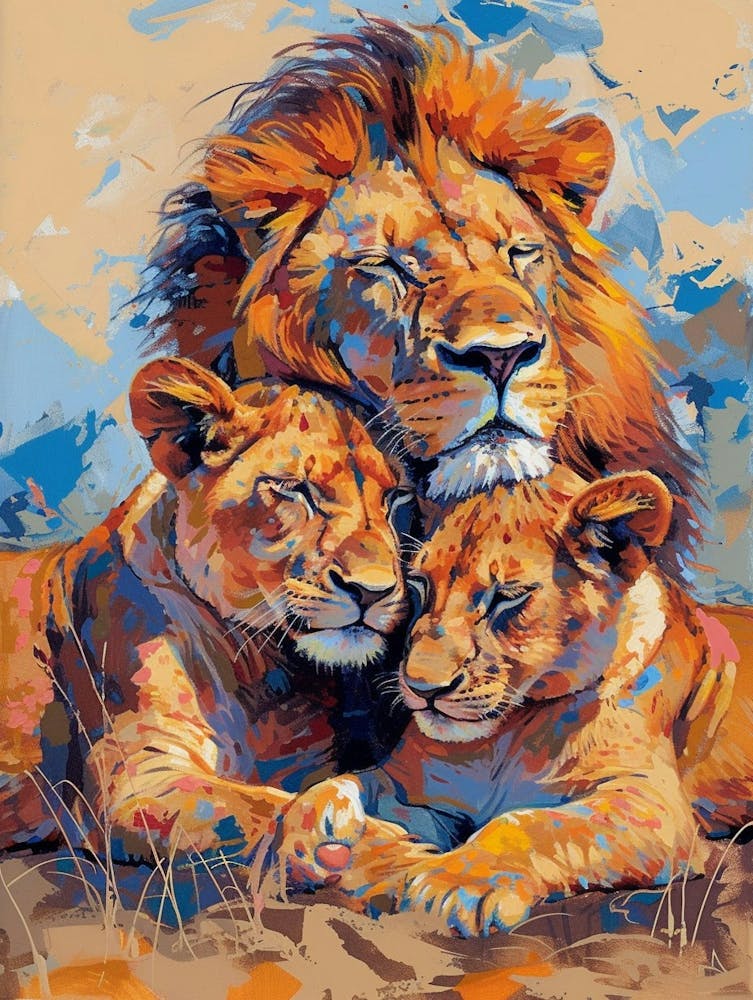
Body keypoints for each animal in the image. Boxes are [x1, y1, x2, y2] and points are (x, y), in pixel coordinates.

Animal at [0, 356, 413, 866]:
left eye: (394, 498)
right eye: (294, 490)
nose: (373, 591)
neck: (259, 673)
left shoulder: (305, 762)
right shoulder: (137, 779)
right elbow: (252, 807)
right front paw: (374, 843)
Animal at [279, 467, 752, 935]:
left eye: (507, 597)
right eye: (419, 583)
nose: (422, 687)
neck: (503, 738)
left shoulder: (652, 803)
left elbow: (538, 822)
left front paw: (455, 881)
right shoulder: (414, 787)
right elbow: (342, 783)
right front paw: (309, 835)